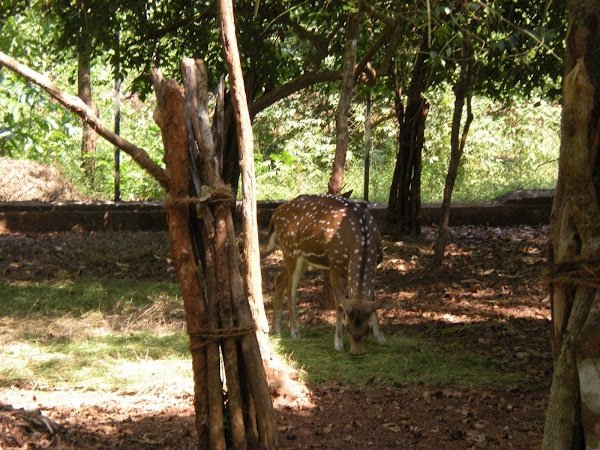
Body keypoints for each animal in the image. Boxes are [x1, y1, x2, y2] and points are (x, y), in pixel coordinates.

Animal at [266, 193, 384, 356]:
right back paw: (295, 333)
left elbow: (372, 299)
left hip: (303, 259)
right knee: (291, 291)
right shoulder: (334, 265)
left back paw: (276, 330)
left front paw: (380, 337)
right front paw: (338, 343)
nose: (356, 352)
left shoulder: (377, 264)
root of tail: (275, 213)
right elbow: (339, 304)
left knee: (279, 280)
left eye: (367, 329)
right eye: (347, 327)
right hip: (291, 250)